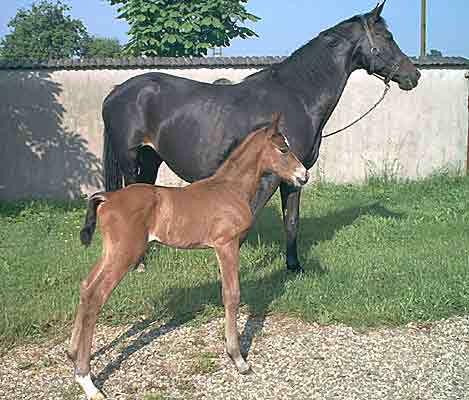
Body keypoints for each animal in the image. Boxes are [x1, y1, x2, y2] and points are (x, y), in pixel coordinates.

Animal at [67, 111, 308, 396]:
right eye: (283, 149)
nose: (304, 175)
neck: (230, 188)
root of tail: (107, 198)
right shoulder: (226, 244)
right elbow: (232, 295)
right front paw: (238, 359)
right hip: (125, 254)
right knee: (96, 296)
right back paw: (87, 381)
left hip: (112, 251)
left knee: (85, 286)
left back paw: (72, 353)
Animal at [100, 2, 418, 272]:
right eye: (387, 36)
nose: (413, 75)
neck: (297, 98)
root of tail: (116, 91)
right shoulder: (270, 177)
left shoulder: (295, 175)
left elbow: (292, 220)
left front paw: (294, 267)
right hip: (130, 159)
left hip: (151, 159)